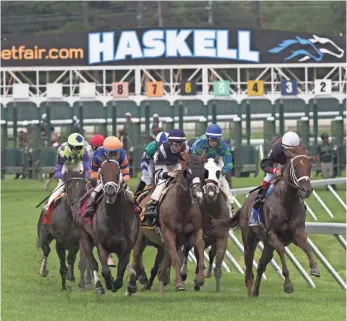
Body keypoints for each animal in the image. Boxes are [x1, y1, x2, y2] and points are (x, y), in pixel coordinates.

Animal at [77, 158, 140, 296]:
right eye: (102, 173)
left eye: (118, 172)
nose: (110, 193)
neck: (114, 217)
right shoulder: (101, 243)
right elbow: (104, 269)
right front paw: (109, 283)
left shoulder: (127, 244)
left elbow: (122, 266)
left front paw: (124, 285)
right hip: (84, 235)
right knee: (92, 262)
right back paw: (99, 286)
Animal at [215, 145, 320, 296]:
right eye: (295, 166)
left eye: (309, 166)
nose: (306, 190)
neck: (287, 201)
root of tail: (244, 206)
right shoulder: (272, 234)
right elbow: (281, 250)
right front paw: (288, 285)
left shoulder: (297, 232)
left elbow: (307, 247)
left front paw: (314, 268)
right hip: (250, 241)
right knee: (249, 267)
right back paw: (249, 290)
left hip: (267, 245)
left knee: (260, 265)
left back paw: (255, 291)